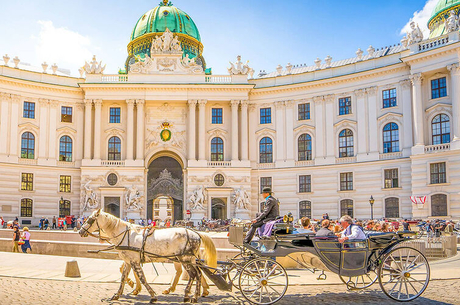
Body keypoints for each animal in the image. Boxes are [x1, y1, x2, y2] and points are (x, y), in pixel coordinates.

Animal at [78, 209, 217, 302]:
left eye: (90, 219)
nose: (80, 231)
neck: (125, 235)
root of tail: (196, 233)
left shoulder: (134, 261)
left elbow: (143, 278)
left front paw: (152, 295)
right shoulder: (128, 261)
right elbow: (123, 278)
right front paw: (117, 295)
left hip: (185, 259)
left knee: (194, 274)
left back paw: (192, 295)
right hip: (188, 259)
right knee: (197, 274)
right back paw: (192, 295)